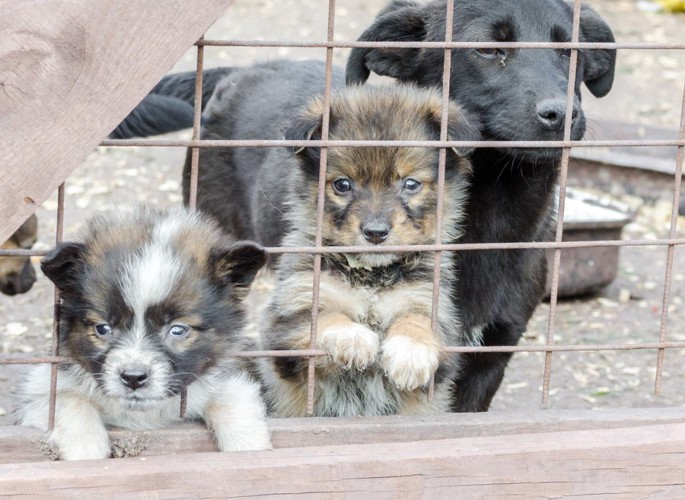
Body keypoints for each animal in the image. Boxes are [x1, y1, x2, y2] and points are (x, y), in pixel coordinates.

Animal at [13, 205, 270, 458]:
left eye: (178, 330)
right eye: (103, 328)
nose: (133, 378)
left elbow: (233, 398)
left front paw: (249, 448)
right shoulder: (41, 385)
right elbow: (65, 398)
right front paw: (86, 451)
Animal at [112, 0, 616, 412]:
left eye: (570, 52)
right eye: (487, 50)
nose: (562, 114)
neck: (489, 219)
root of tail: (244, 70)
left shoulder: (489, 357)